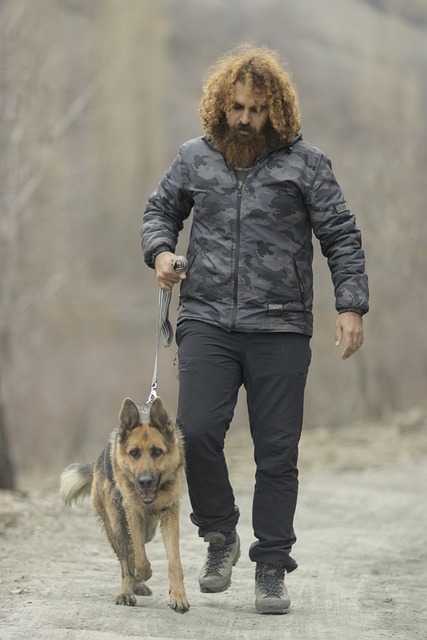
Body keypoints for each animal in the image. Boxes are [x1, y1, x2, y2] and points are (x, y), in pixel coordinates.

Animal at [59, 398, 189, 612]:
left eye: (157, 452)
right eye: (134, 453)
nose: (145, 482)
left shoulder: (169, 513)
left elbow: (174, 562)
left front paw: (178, 596)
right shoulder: (132, 511)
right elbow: (138, 556)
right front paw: (143, 573)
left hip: (149, 529)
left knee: (134, 549)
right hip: (115, 525)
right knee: (126, 560)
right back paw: (128, 591)